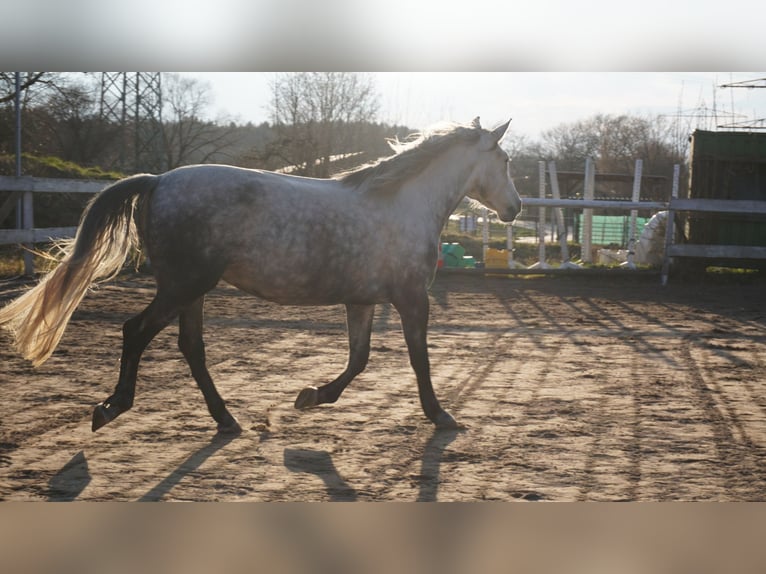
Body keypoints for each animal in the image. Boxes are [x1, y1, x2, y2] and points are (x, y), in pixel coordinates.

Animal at [0, 117, 522, 433]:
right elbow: (418, 360)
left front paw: (310, 396)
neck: (402, 204)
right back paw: (112, 407)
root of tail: (158, 180)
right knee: (136, 331)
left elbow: (358, 360)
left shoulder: (362, 300)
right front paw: (441, 414)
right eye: (505, 161)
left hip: (191, 290)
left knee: (190, 347)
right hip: (184, 286)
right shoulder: (412, 298)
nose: (515, 208)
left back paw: (225, 419)